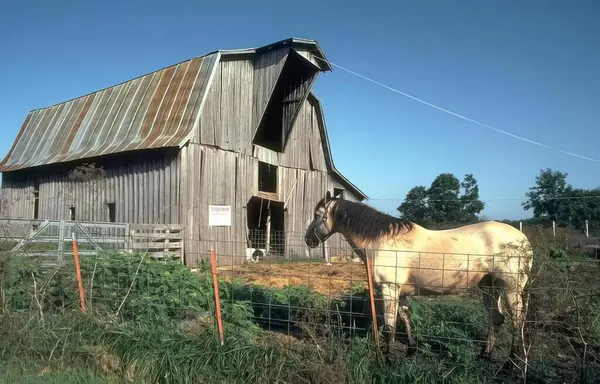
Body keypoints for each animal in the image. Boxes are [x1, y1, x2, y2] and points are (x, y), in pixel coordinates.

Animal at [304, 190, 536, 362]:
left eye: (317, 214)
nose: (308, 240)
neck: (382, 241)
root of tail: (523, 239)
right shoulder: (401, 293)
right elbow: (406, 320)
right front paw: (411, 350)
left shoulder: (389, 289)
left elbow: (388, 327)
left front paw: (386, 359)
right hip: (489, 287)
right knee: (496, 319)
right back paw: (485, 355)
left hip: (511, 288)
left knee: (517, 321)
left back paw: (511, 362)